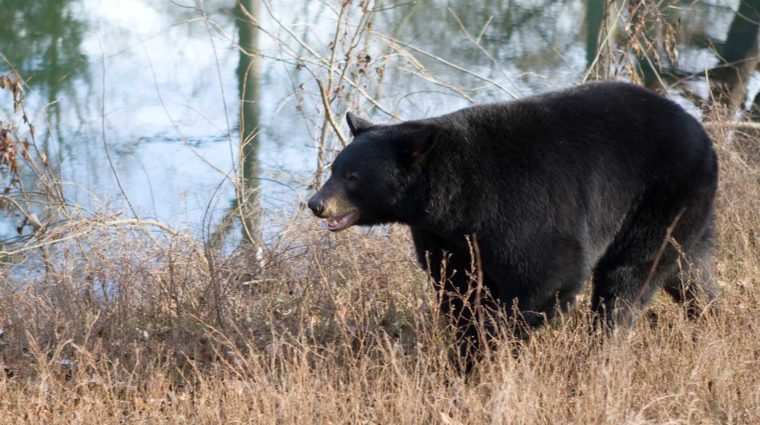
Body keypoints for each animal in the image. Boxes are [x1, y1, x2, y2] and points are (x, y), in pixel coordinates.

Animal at [307, 81, 719, 366]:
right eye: (334, 168)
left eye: (353, 177)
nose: (316, 203)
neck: (452, 196)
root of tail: (700, 131)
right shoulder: (444, 238)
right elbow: (456, 286)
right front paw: (466, 350)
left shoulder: (520, 209)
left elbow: (546, 273)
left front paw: (492, 347)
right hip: (688, 212)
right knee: (690, 270)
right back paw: (710, 317)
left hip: (658, 197)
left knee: (628, 279)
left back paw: (601, 348)